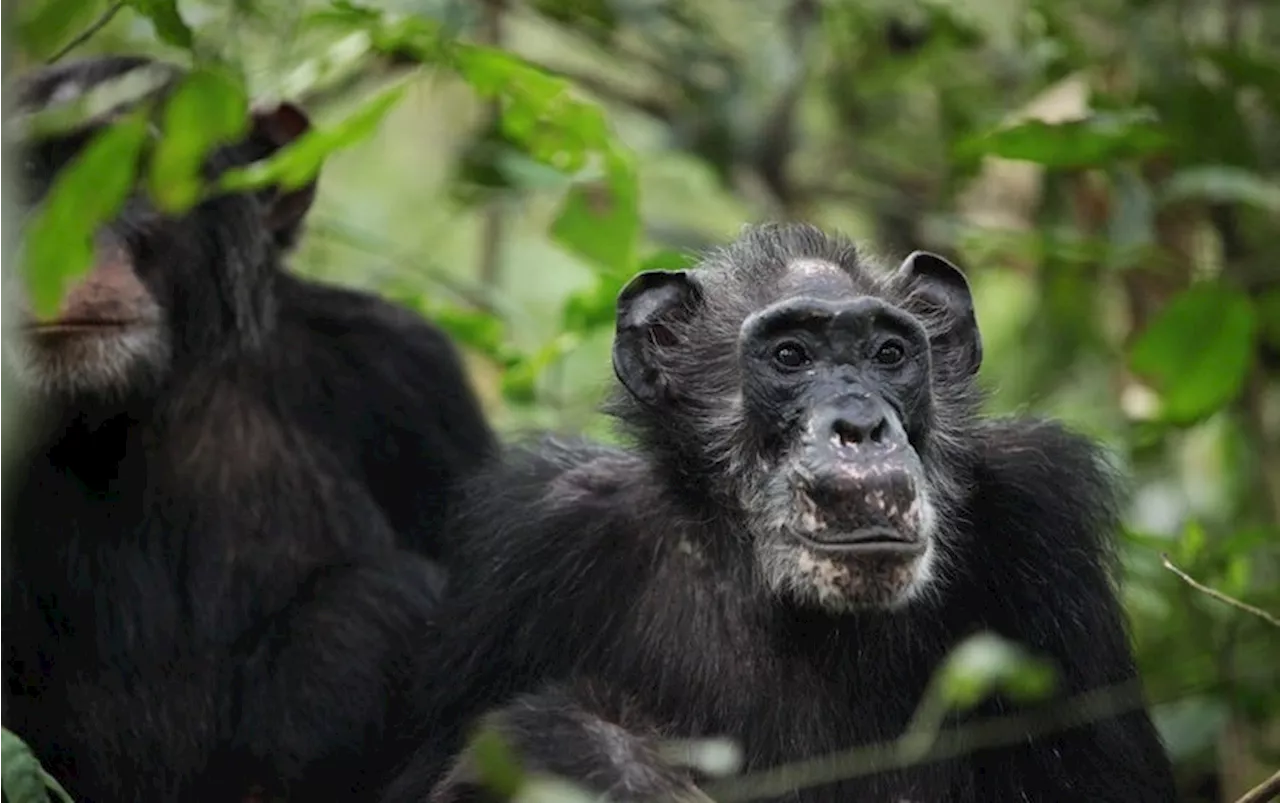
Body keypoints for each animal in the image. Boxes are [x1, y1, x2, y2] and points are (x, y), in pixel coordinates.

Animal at [378, 221, 1177, 803]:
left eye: (889, 353)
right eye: (792, 356)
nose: (860, 424)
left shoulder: (1044, 522)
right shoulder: (535, 541)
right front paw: (595, 754)